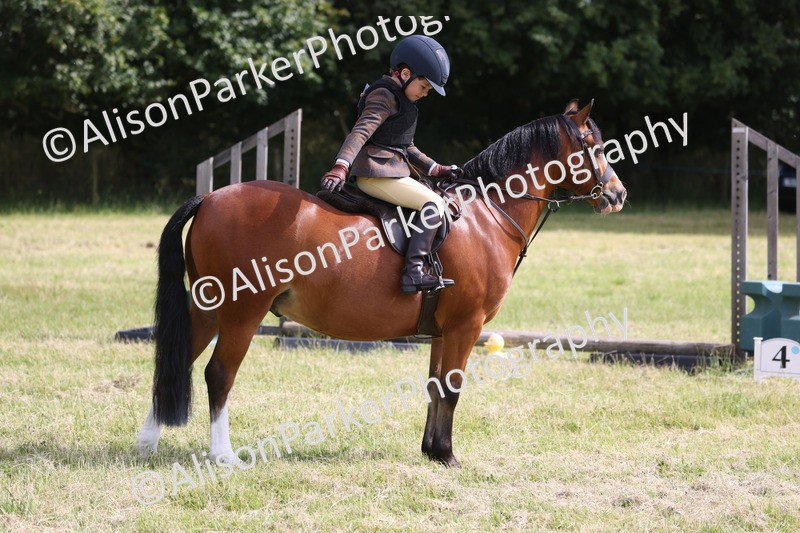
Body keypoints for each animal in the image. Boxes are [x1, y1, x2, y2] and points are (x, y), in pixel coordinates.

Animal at [136, 99, 627, 468]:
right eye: (593, 146)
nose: (618, 195)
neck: (487, 214)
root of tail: (211, 197)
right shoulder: (466, 326)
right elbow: (452, 388)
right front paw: (448, 456)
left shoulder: (442, 331)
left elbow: (434, 386)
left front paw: (431, 452)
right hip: (242, 312)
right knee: (218, 374)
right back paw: (223, 456)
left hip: (207, 308)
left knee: (176, 359)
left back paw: (147, 443)